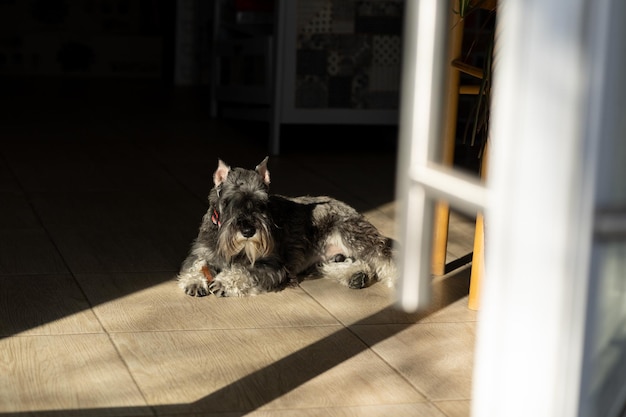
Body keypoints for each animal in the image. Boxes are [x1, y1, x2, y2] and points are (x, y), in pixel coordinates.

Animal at [176, 156, 394, 296]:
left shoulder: (272, 266)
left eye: (262, 204)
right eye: (229, 202)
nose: (248, 231)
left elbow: (244, 270)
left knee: (384, 258)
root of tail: (350, 208)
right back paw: (356, 275)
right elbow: (195, 264)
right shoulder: (201, 251)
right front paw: (194, 281)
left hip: (355, 236)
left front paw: (224, 282)